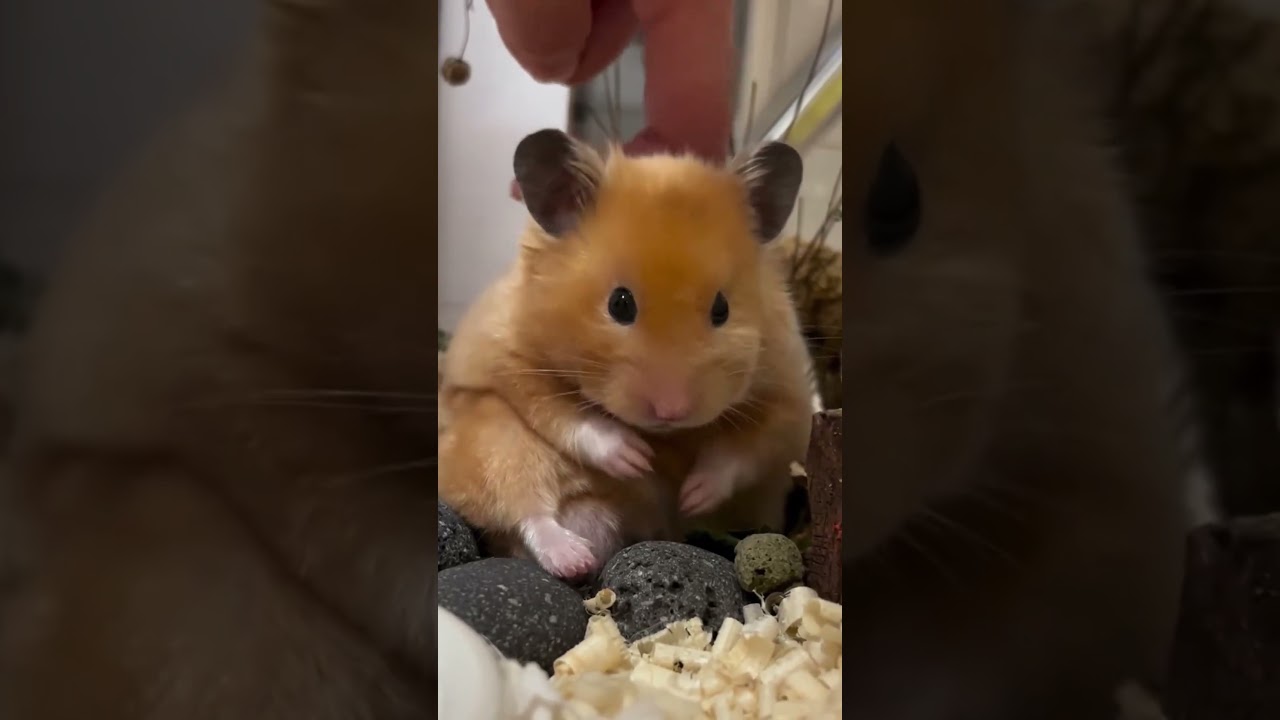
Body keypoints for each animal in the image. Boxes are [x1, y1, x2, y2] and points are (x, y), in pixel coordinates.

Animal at [438, 130, 816, 579]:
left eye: (722, 308)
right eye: (620, 304)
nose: (671, 411)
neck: (667, 436)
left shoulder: (788, 400)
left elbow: (742, 452)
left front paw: (693, 494)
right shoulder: (511, 363)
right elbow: (566, 416)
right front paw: (635, 458)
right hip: (496, 445)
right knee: (525, 507)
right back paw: (574, 558)